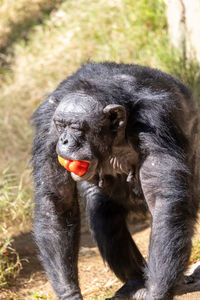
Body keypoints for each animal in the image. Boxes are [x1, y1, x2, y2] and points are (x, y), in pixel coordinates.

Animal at [31, 62, 200, 298]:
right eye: (60, 124)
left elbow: (163, 201)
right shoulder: (47, 130)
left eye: (76, 127)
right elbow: (57, 204)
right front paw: (70, 294)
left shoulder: (157, 122)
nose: (64, 140)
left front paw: (156, 292)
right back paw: (135, 283)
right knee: (102, 213)